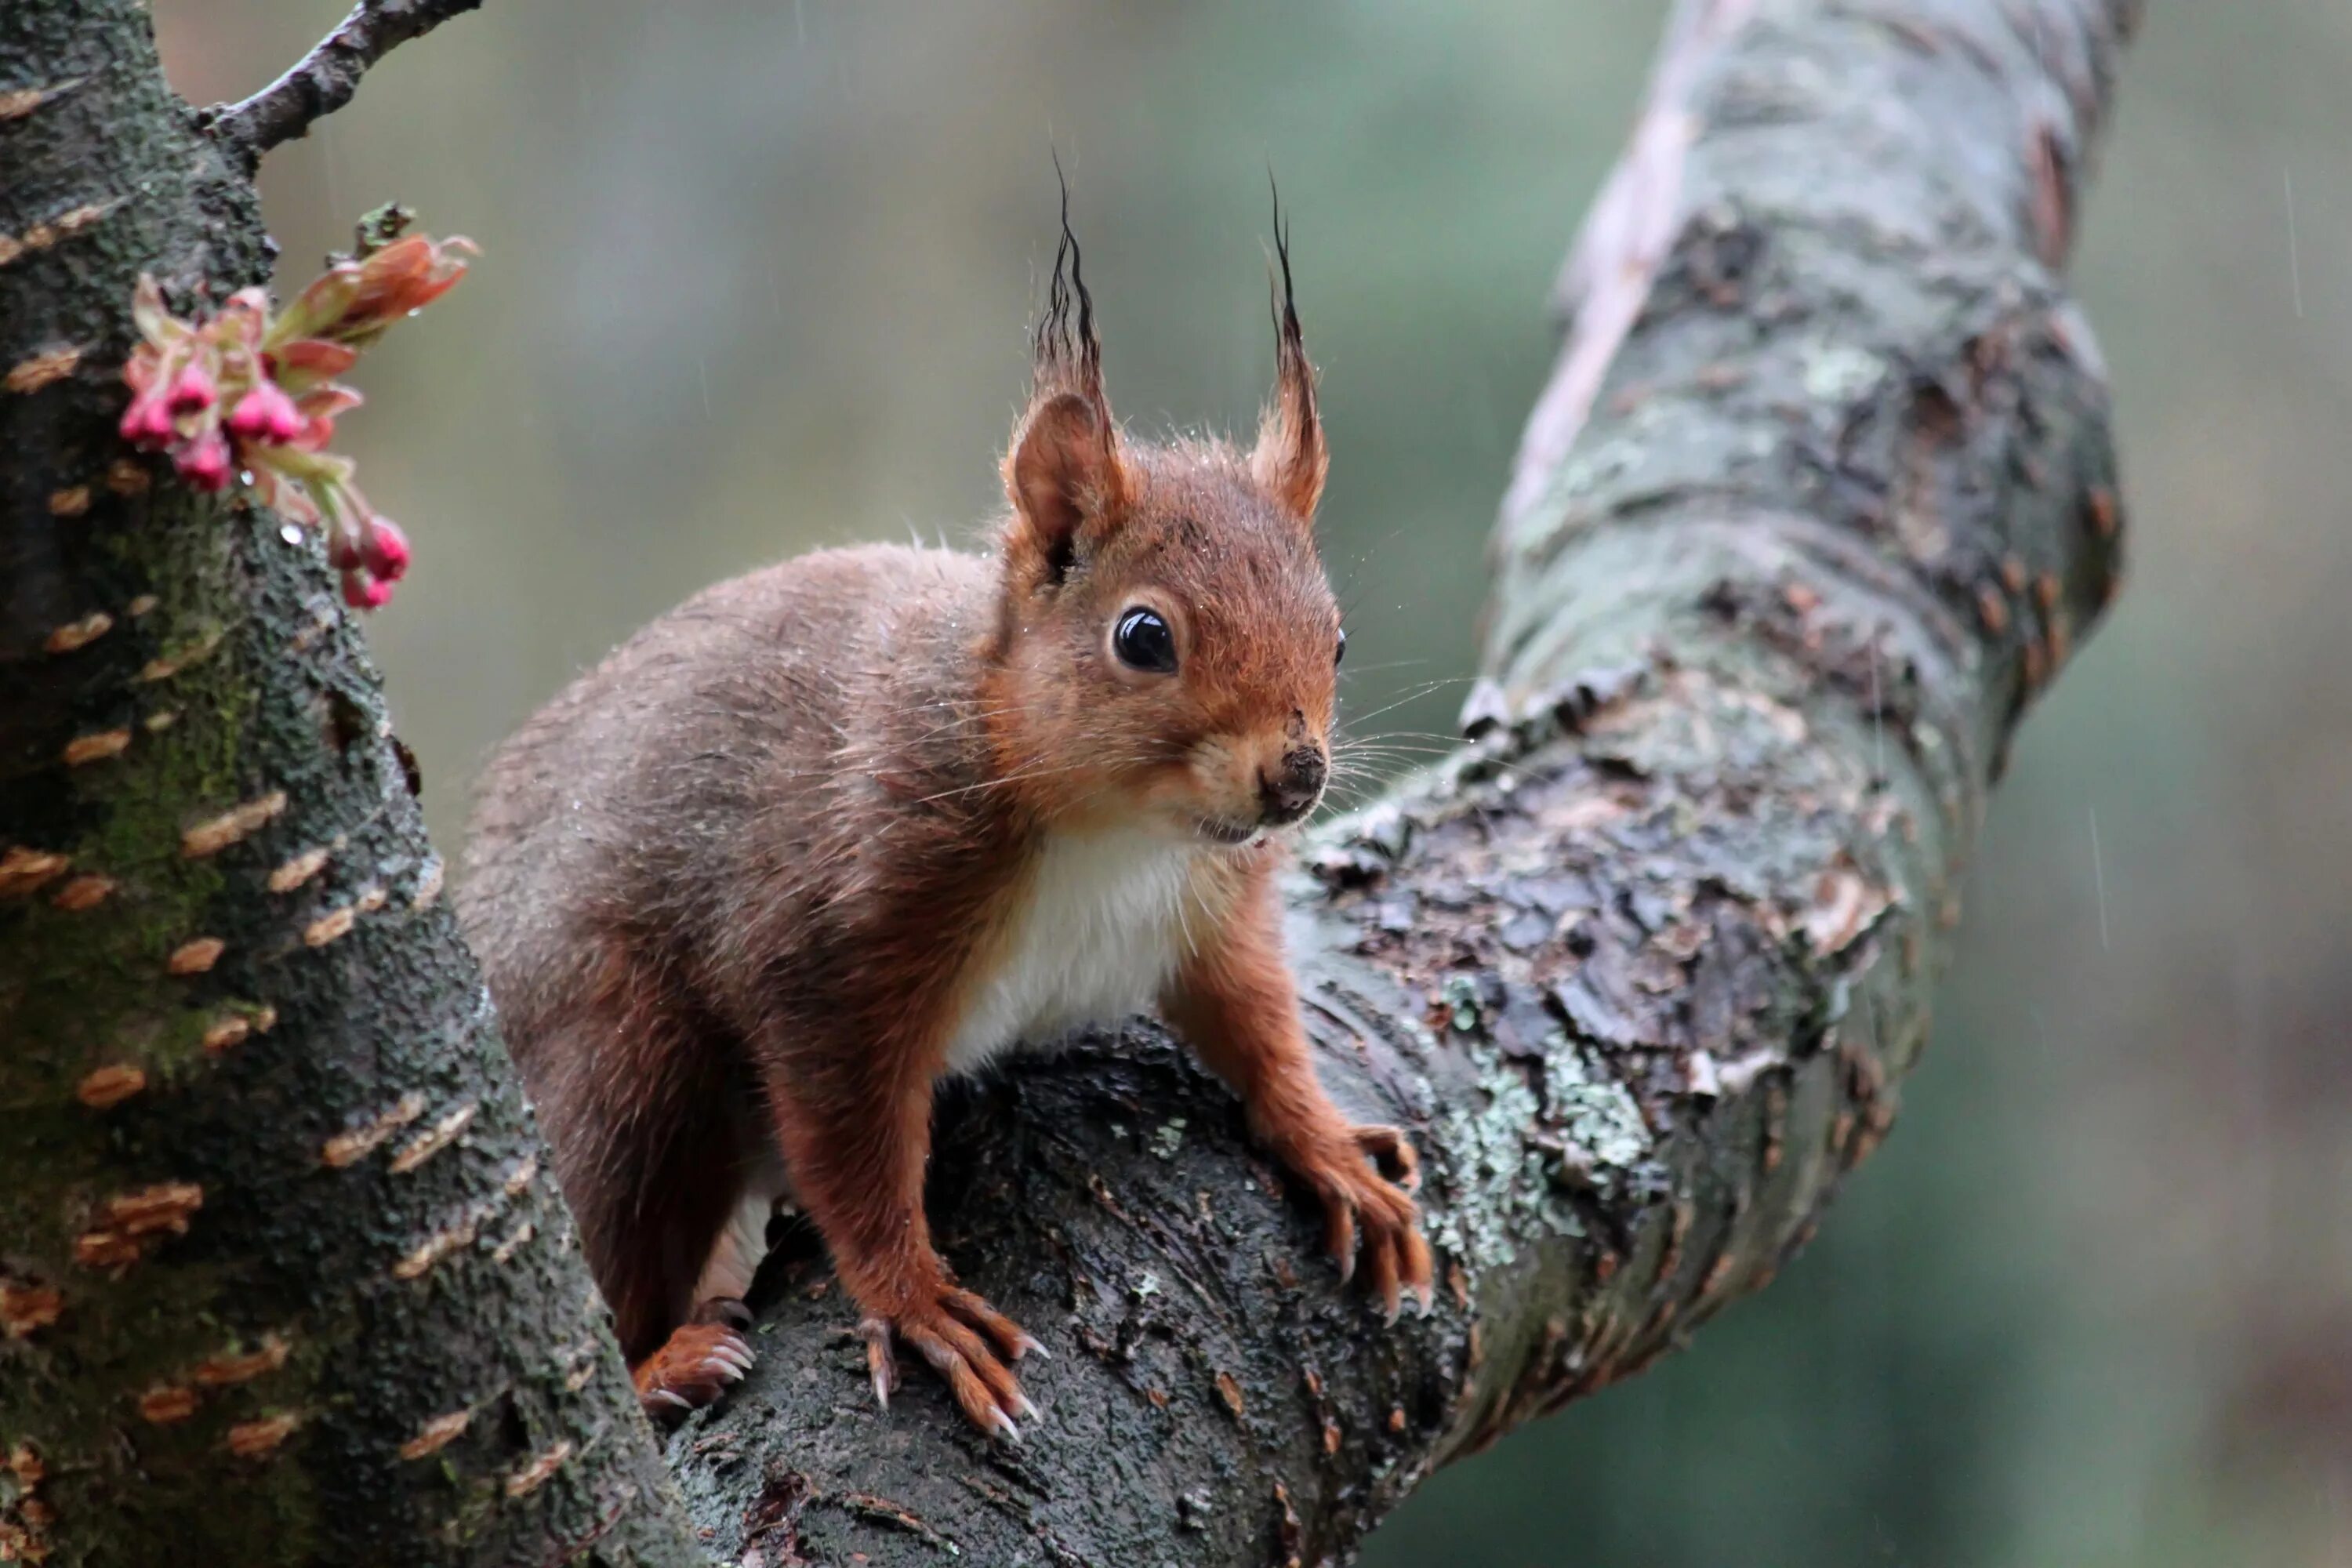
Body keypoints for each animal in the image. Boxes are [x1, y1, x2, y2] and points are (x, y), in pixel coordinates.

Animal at [449, 201, 1421, 1439]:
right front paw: (914, 1301)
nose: (1296, 776)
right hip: (619, 1057)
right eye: (1143, 636)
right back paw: (662, 1364)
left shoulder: (1211, 912)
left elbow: (1256, 1022)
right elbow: (850, 1143)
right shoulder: (840, 932)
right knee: (605, 1239)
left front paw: (1328, 1143)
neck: (1117, 836)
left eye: (1336, 638)